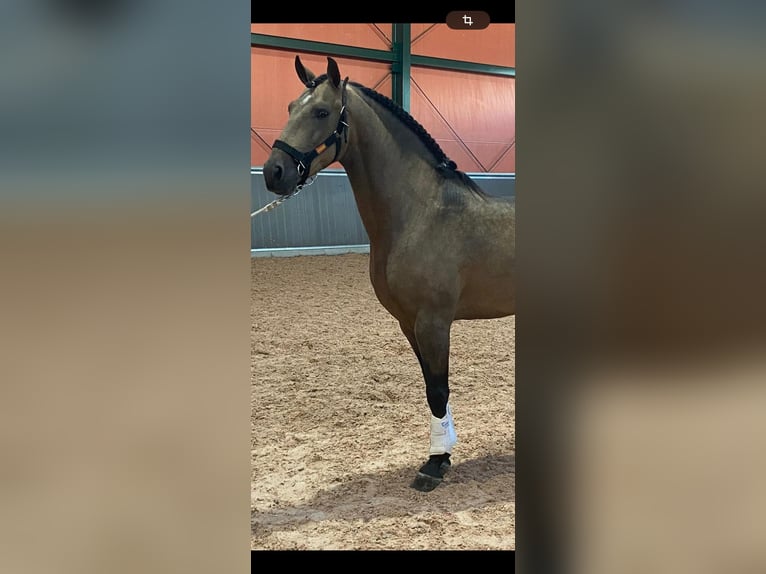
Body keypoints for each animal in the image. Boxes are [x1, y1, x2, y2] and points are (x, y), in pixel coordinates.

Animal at [262, 56, 516, 492]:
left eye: (322, 111)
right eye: (291, 107)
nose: (273, 172)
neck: (420, 214)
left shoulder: (434, 323)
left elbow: (438, 390)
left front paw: (434, 465)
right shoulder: (407, 323)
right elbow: (431, 389)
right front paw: (443, 453)